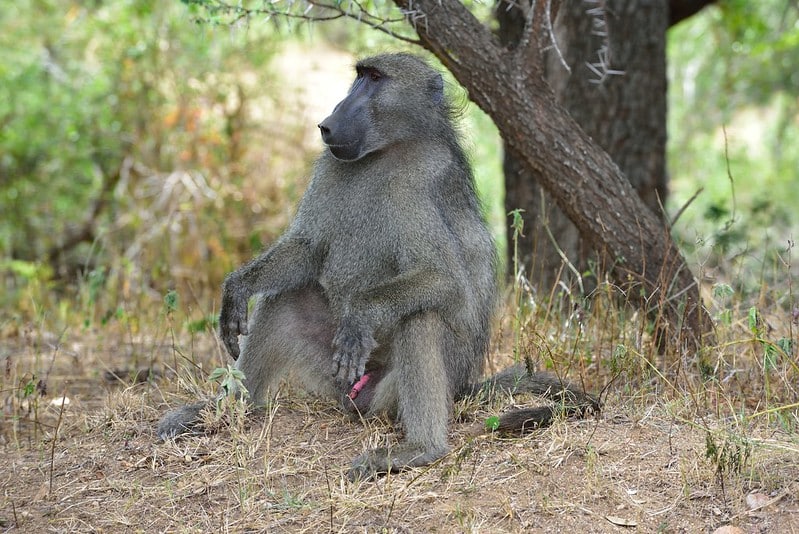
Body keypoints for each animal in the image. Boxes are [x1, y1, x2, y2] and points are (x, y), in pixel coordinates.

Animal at [157, 53, 598, 480]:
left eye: (375, 79)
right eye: (359, 75)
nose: (328, 123)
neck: (387, 149)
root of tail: (463, 389)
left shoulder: (422, 181)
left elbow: (443, 279)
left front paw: (361, 314)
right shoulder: (331, 166)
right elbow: (307, 249)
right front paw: (236, 289)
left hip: (403, 390)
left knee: (420, 316)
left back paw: (419, 450)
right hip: (334, 377)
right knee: (286, 299)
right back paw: (227, 410)